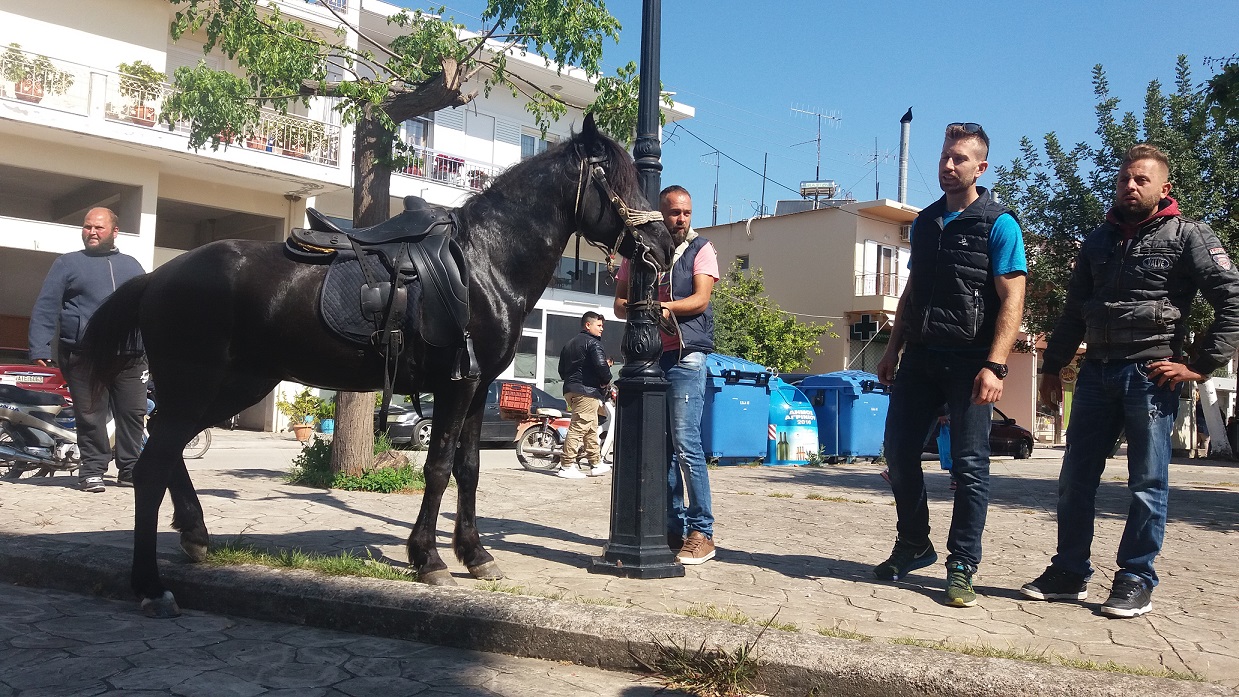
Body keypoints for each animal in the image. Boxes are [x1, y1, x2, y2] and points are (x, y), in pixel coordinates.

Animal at [82, 114, 673, 618]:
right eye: (617, 181)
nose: (666, 243)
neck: (484, 261)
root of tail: (156, 277)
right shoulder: (457, 386)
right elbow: (438, 468)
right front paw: (428, 558)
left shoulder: (477, 387)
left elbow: (469, 469)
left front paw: (474, 554)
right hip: (201, 386)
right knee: (153, 465)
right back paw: (150, 585)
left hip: (228, 387)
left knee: (168, 450)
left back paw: (195, 535)